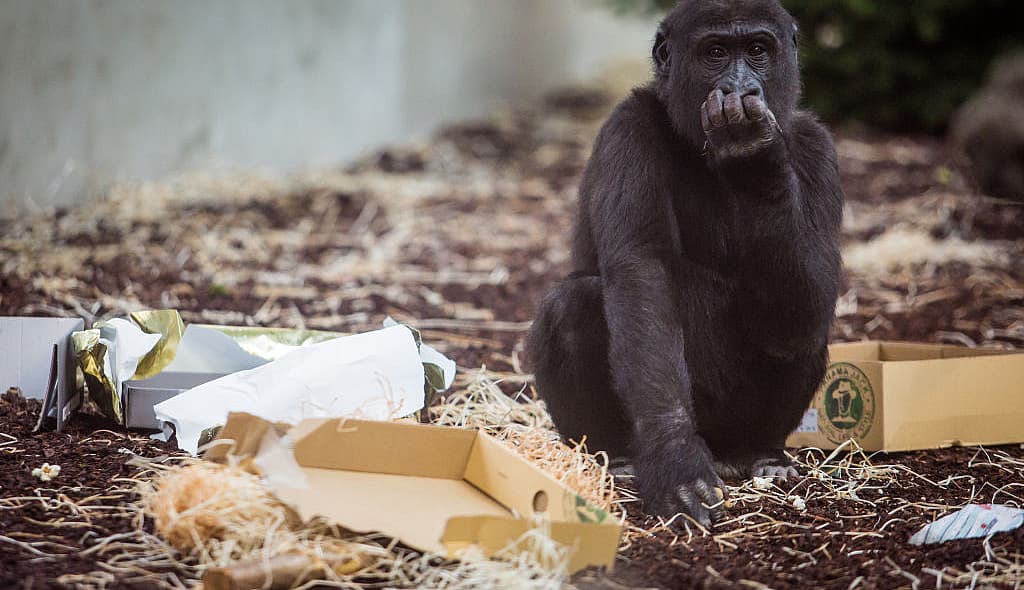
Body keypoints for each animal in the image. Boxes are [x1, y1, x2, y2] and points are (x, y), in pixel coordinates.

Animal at [527, 0, 842, 526]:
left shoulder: (819, 149)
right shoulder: (626, 129)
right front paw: (674, 459)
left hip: (733, 432)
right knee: (571, 306)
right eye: (715, 53)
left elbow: (806, 306)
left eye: (757, 50)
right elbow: (642, 275)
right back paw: (620, 456)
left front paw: (755, 158)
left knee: (802, 335)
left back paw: (763, 453)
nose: (738, 86)